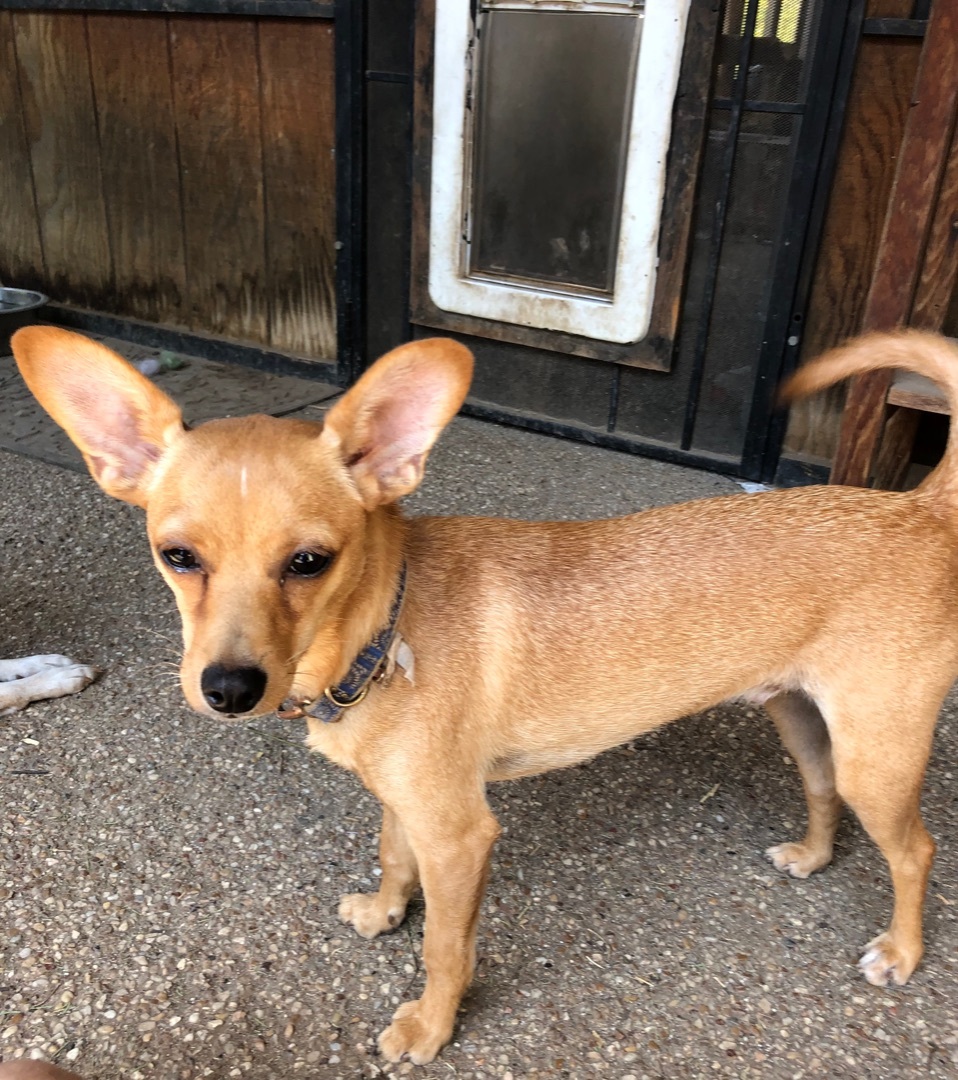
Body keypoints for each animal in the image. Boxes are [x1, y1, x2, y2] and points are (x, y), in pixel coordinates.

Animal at [13, 326, 958, 1062]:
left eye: (310, 562)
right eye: (178, 557)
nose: (228, 689)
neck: (383, 634)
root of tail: (917, 510)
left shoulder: (461, 833)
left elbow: (445, 949)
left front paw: (430, 1029)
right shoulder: (408, 806)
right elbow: (394, 861)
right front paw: (384, 910)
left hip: (879, 755)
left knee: (915, 851)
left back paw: (902, 951)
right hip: (803, 719)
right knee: (823, 790)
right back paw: (812, 855)